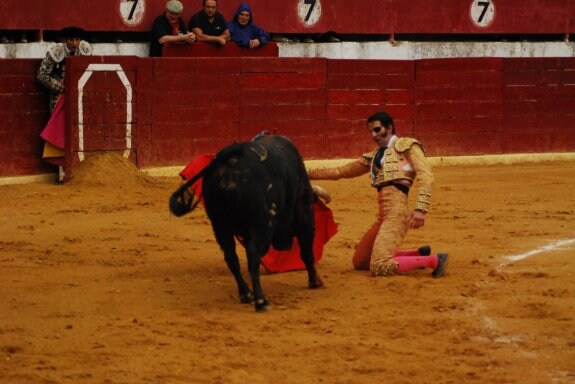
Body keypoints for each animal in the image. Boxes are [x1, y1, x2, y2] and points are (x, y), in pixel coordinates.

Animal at [170, 136, 324, 312]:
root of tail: (230, 159)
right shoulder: (304, 216)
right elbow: (307, 251)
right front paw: (315, 281)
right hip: (261, 225)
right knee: (252, 256)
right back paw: (261, 301)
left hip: (219, 224)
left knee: (231, 257)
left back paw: (245, 294)